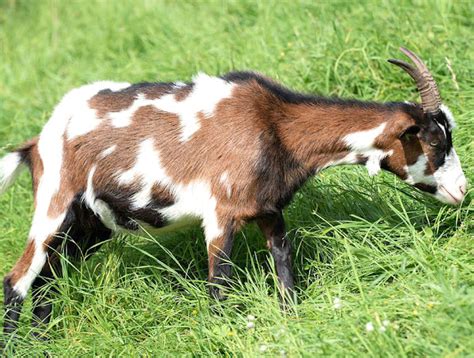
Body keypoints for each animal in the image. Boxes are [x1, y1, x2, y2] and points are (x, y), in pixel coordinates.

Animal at [0, 48, 466, 336]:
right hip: (55, 201)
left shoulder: (270, 210)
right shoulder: (220, 214)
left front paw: (290, 320)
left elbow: (284, 268)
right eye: (436, 141)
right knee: (19, 278)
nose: (462, 190)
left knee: (47, 280)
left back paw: (42, 341)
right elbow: (219, 285)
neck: (274, 123)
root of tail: (37, 141)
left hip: (91, 222)